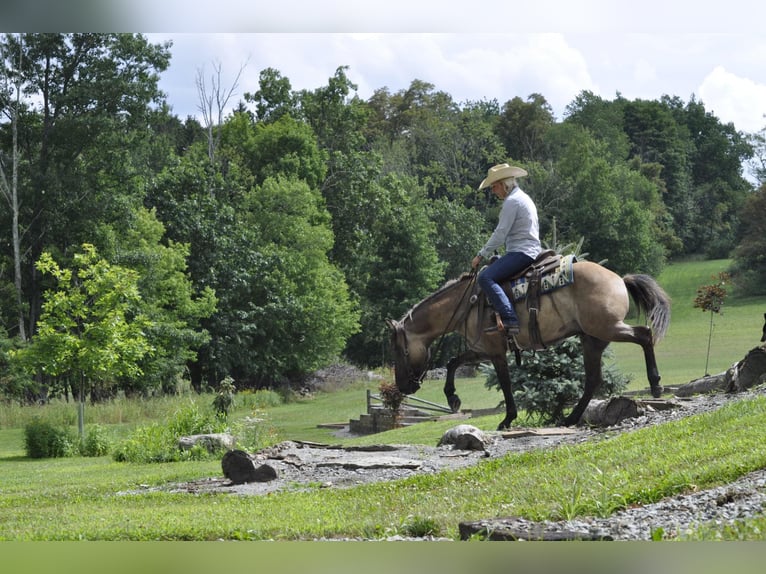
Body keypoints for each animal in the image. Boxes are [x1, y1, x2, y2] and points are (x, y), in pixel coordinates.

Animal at [390, 258, 672, 430]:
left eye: (400, 351)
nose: (403, 386)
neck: (467, 304)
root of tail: (618, 279)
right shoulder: (483, 349)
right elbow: (452, 362)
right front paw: (453, 398)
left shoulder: (496, 351)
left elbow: (505, 384)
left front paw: (507, 419)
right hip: (593, 339)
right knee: (593, 379)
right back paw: (569, 418)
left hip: (606, 328)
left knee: (644, 335)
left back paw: (656, 384)